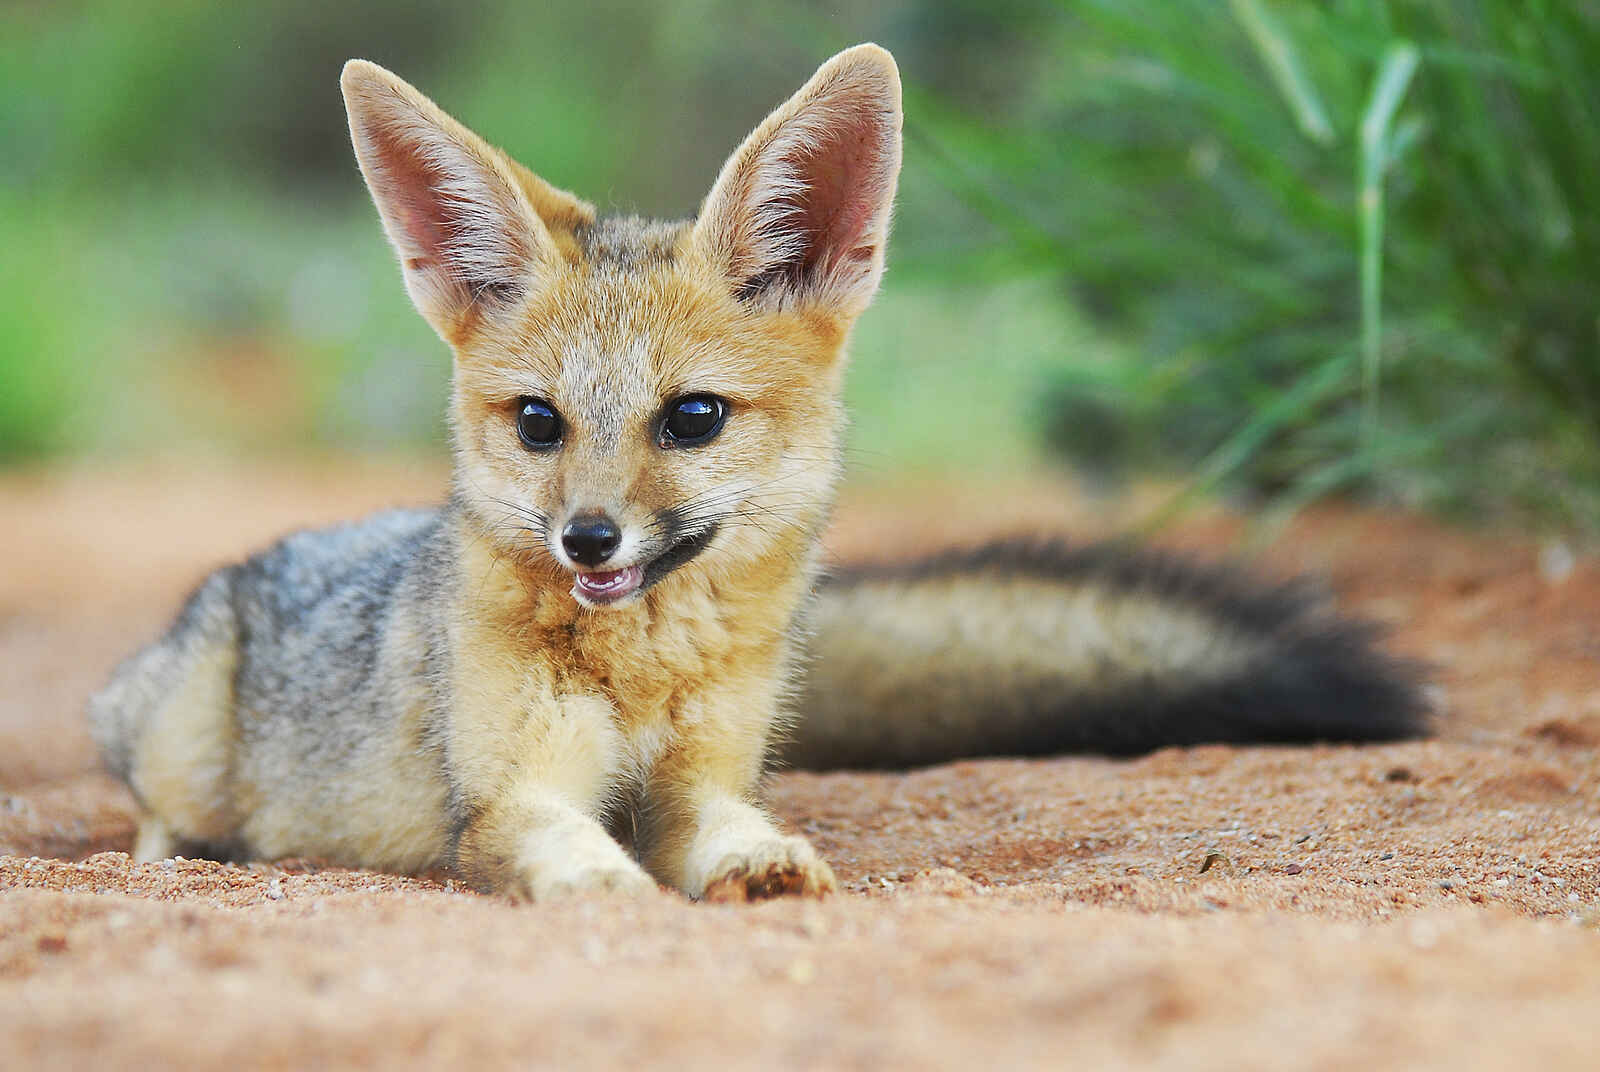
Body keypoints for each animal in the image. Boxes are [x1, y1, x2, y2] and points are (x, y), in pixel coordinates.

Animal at [87, 45, 1423, 903]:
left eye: (691, 418)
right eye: (538, 421)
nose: (586, 540)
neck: (641, 679)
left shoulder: (696, 779)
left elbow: (733, 819)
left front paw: (758, 863)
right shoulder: (510, 792)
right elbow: (566, 848)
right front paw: (607, 886)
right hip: (179, 750)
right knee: (156, 802)